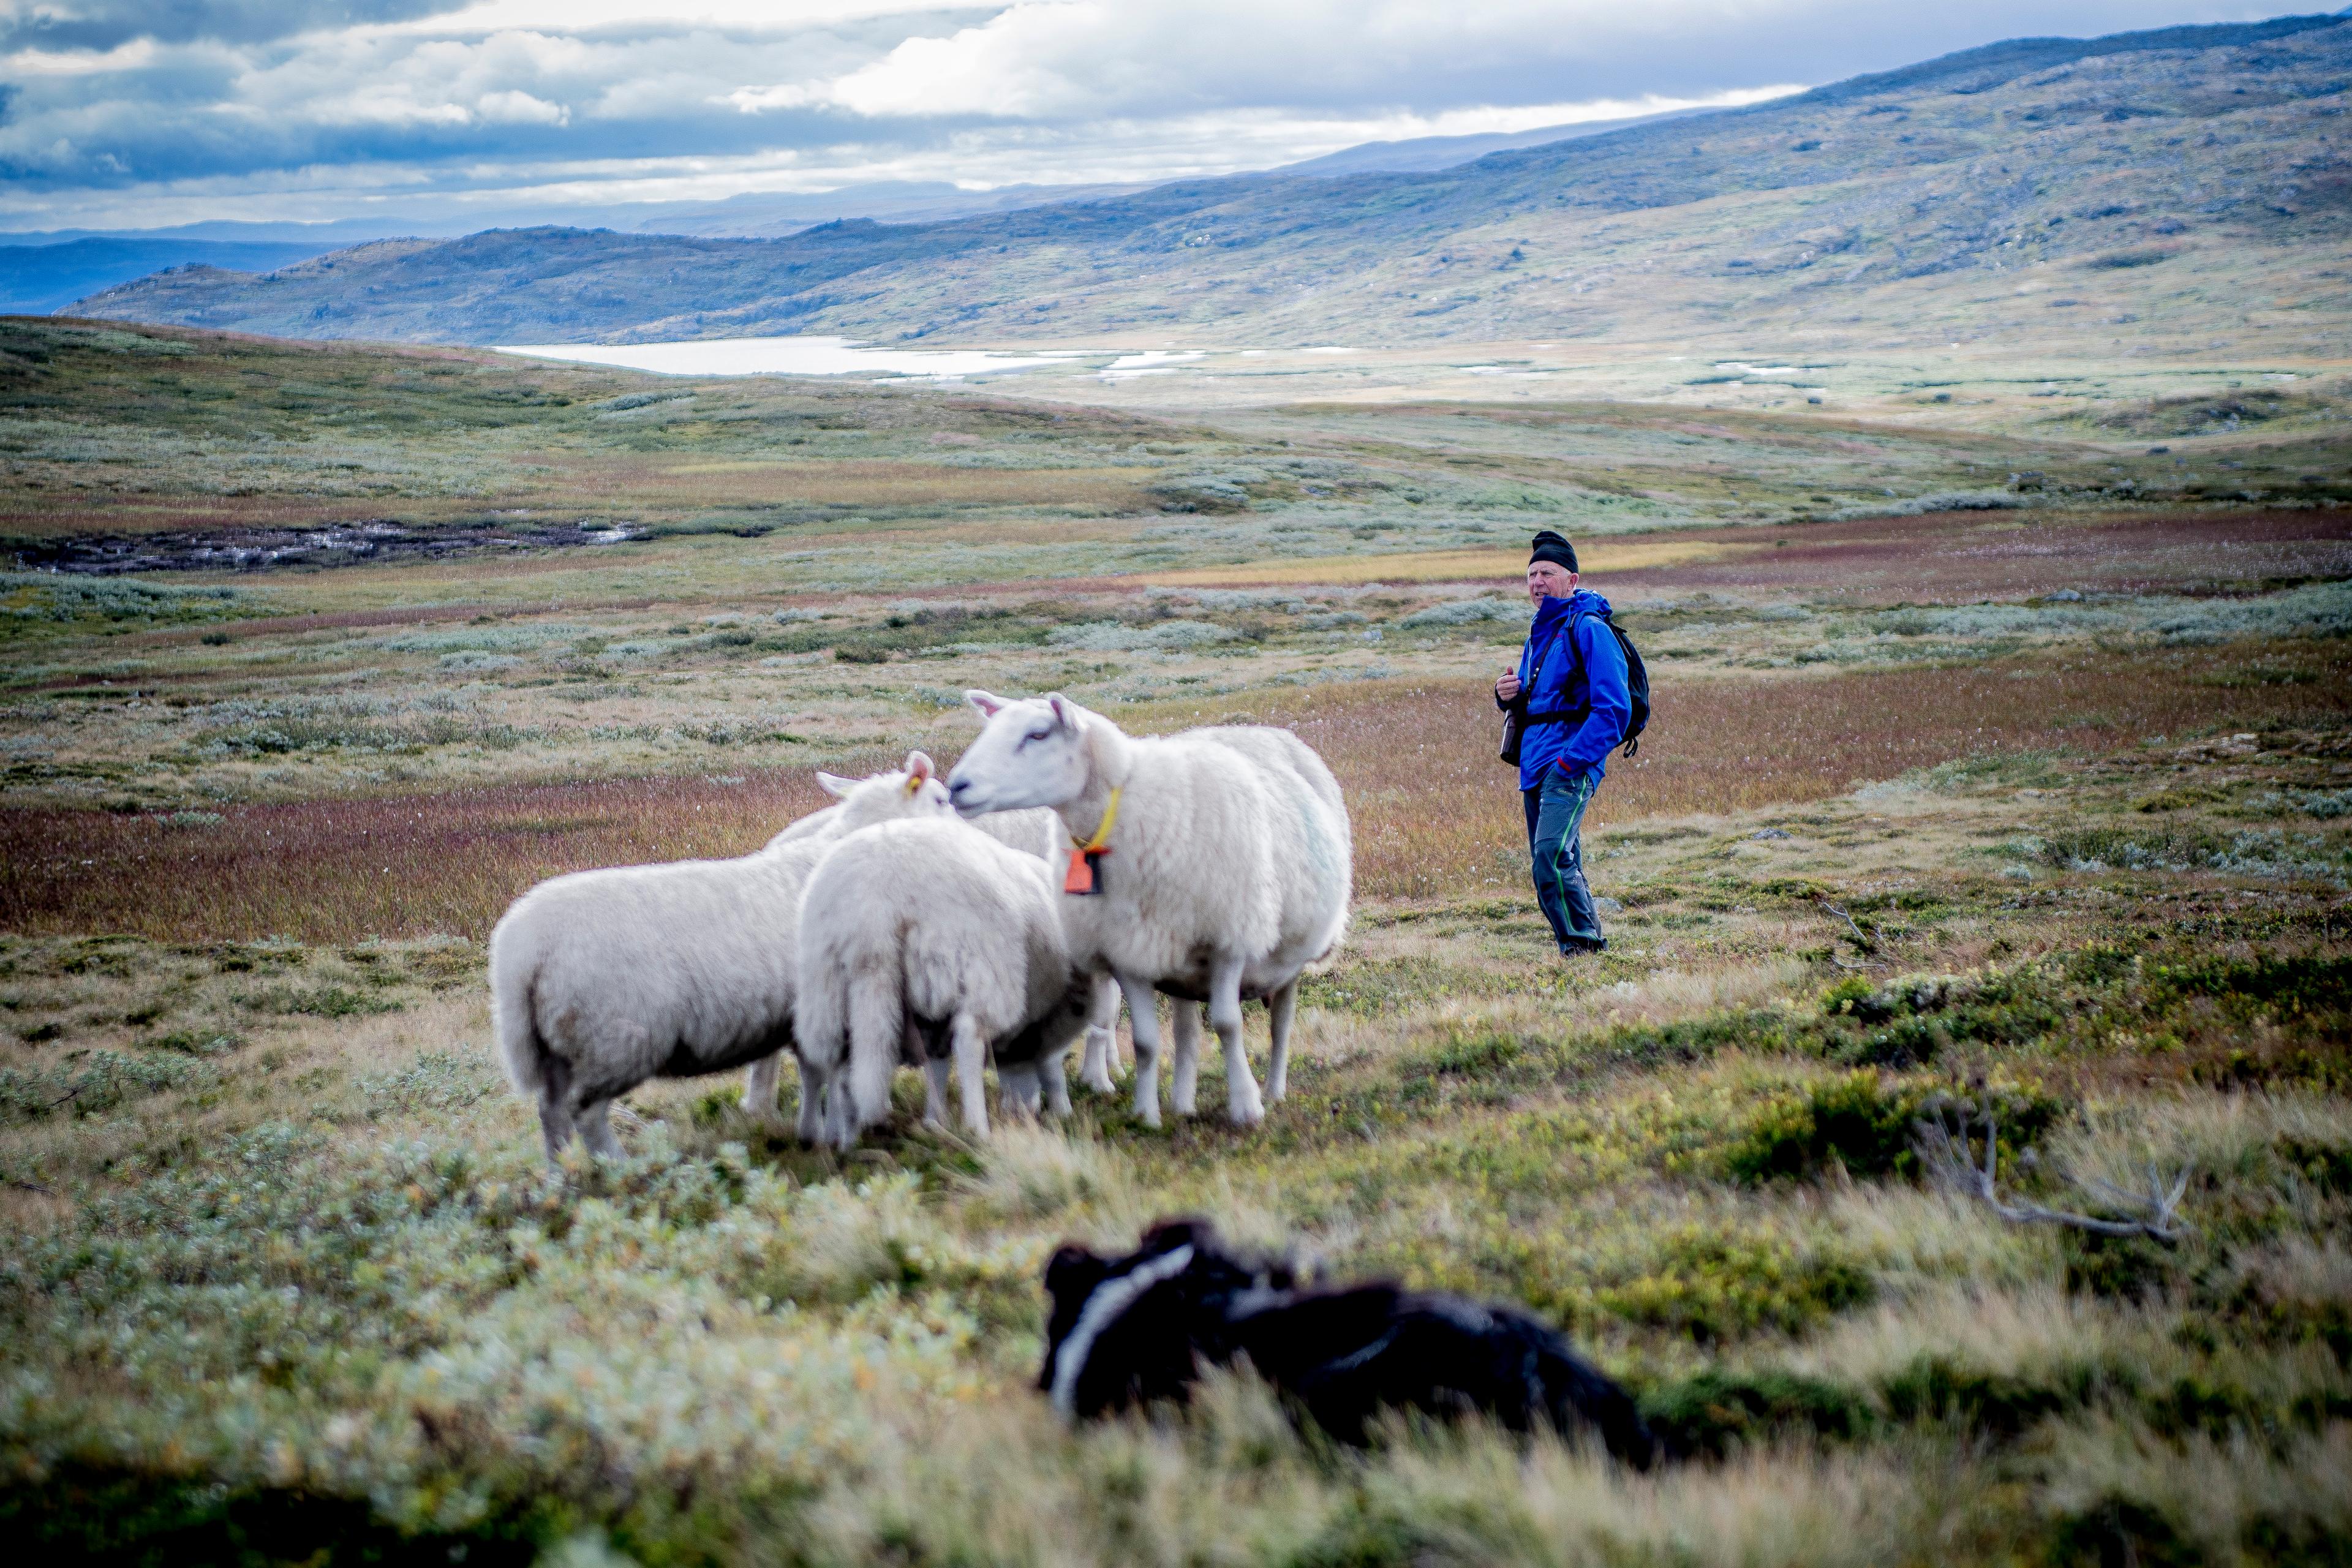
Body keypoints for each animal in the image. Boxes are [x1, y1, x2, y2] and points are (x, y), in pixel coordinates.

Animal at [489, 752, 954, 1163]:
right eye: (941, 799)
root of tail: (519, 949)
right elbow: (832, 1077)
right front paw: (839, 1137)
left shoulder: (803, 1014)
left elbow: (814, 1074)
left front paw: (813, 1136)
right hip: (613, 1040)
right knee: (585, 1115)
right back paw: (623, 1170)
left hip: (557, 1048)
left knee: (551, 1113)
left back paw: (559, 1180)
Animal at [794, 815, 1097, 1143]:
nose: (1024, 1112)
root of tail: (875, 901)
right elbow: (1051, 1064)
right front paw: (1061, 1110)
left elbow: (936, 1060)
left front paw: (933, 1121)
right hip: (972, 962)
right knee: (969, 1037)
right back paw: (978, 1129)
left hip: (827, 985)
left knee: (841, 1056)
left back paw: (847, 1139)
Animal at [946, 691, 1351, 1128]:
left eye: (1037, 735)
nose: (956, 786)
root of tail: (1258, 730)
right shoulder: (1127, 950)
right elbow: (1145, 1042)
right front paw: (1146, 1115)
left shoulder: (1229, 941)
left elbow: (1228, 1025)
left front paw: (1247, 1107)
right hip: (1181, 963)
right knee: (1187, 1034)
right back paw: (1183, 1103)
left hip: (1290, 956)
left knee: (1281, 1023)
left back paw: (1275, 1091)